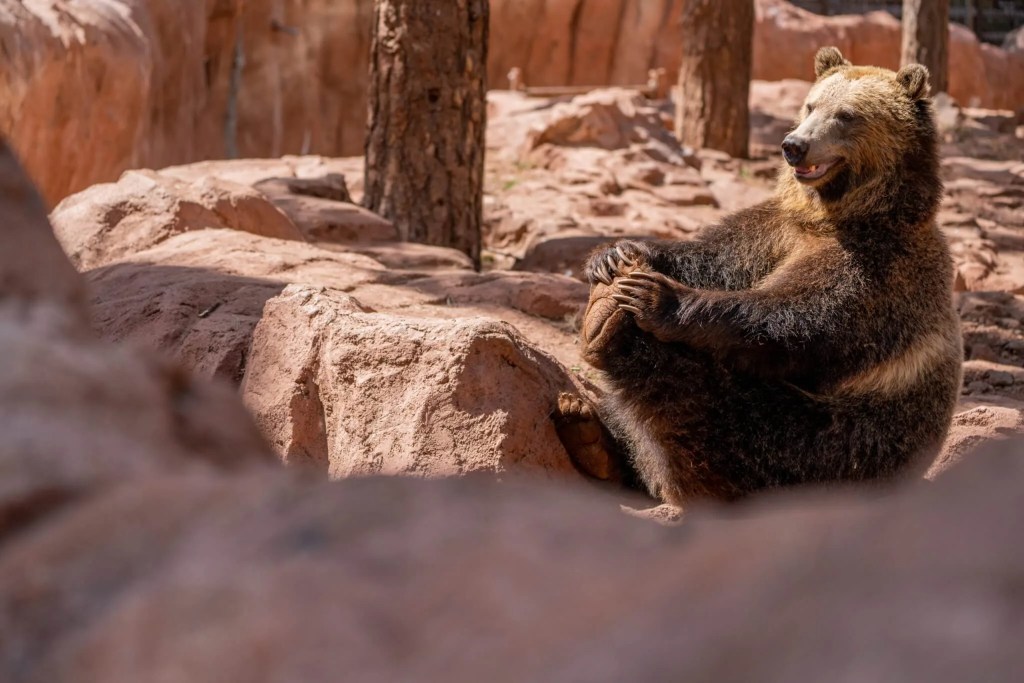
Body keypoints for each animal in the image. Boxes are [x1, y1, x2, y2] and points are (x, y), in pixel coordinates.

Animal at [554, 46, 963, 507]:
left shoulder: (875, 269)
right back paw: (586, 428)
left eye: (846, 114)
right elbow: (715, 257)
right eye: (810, 105)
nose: (794, 146)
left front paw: (657, 296)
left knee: (711, 404)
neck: (839, 214)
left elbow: (797, 317)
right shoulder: (776, 231)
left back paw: (609, 330)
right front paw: (614, 255)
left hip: (830, 443)